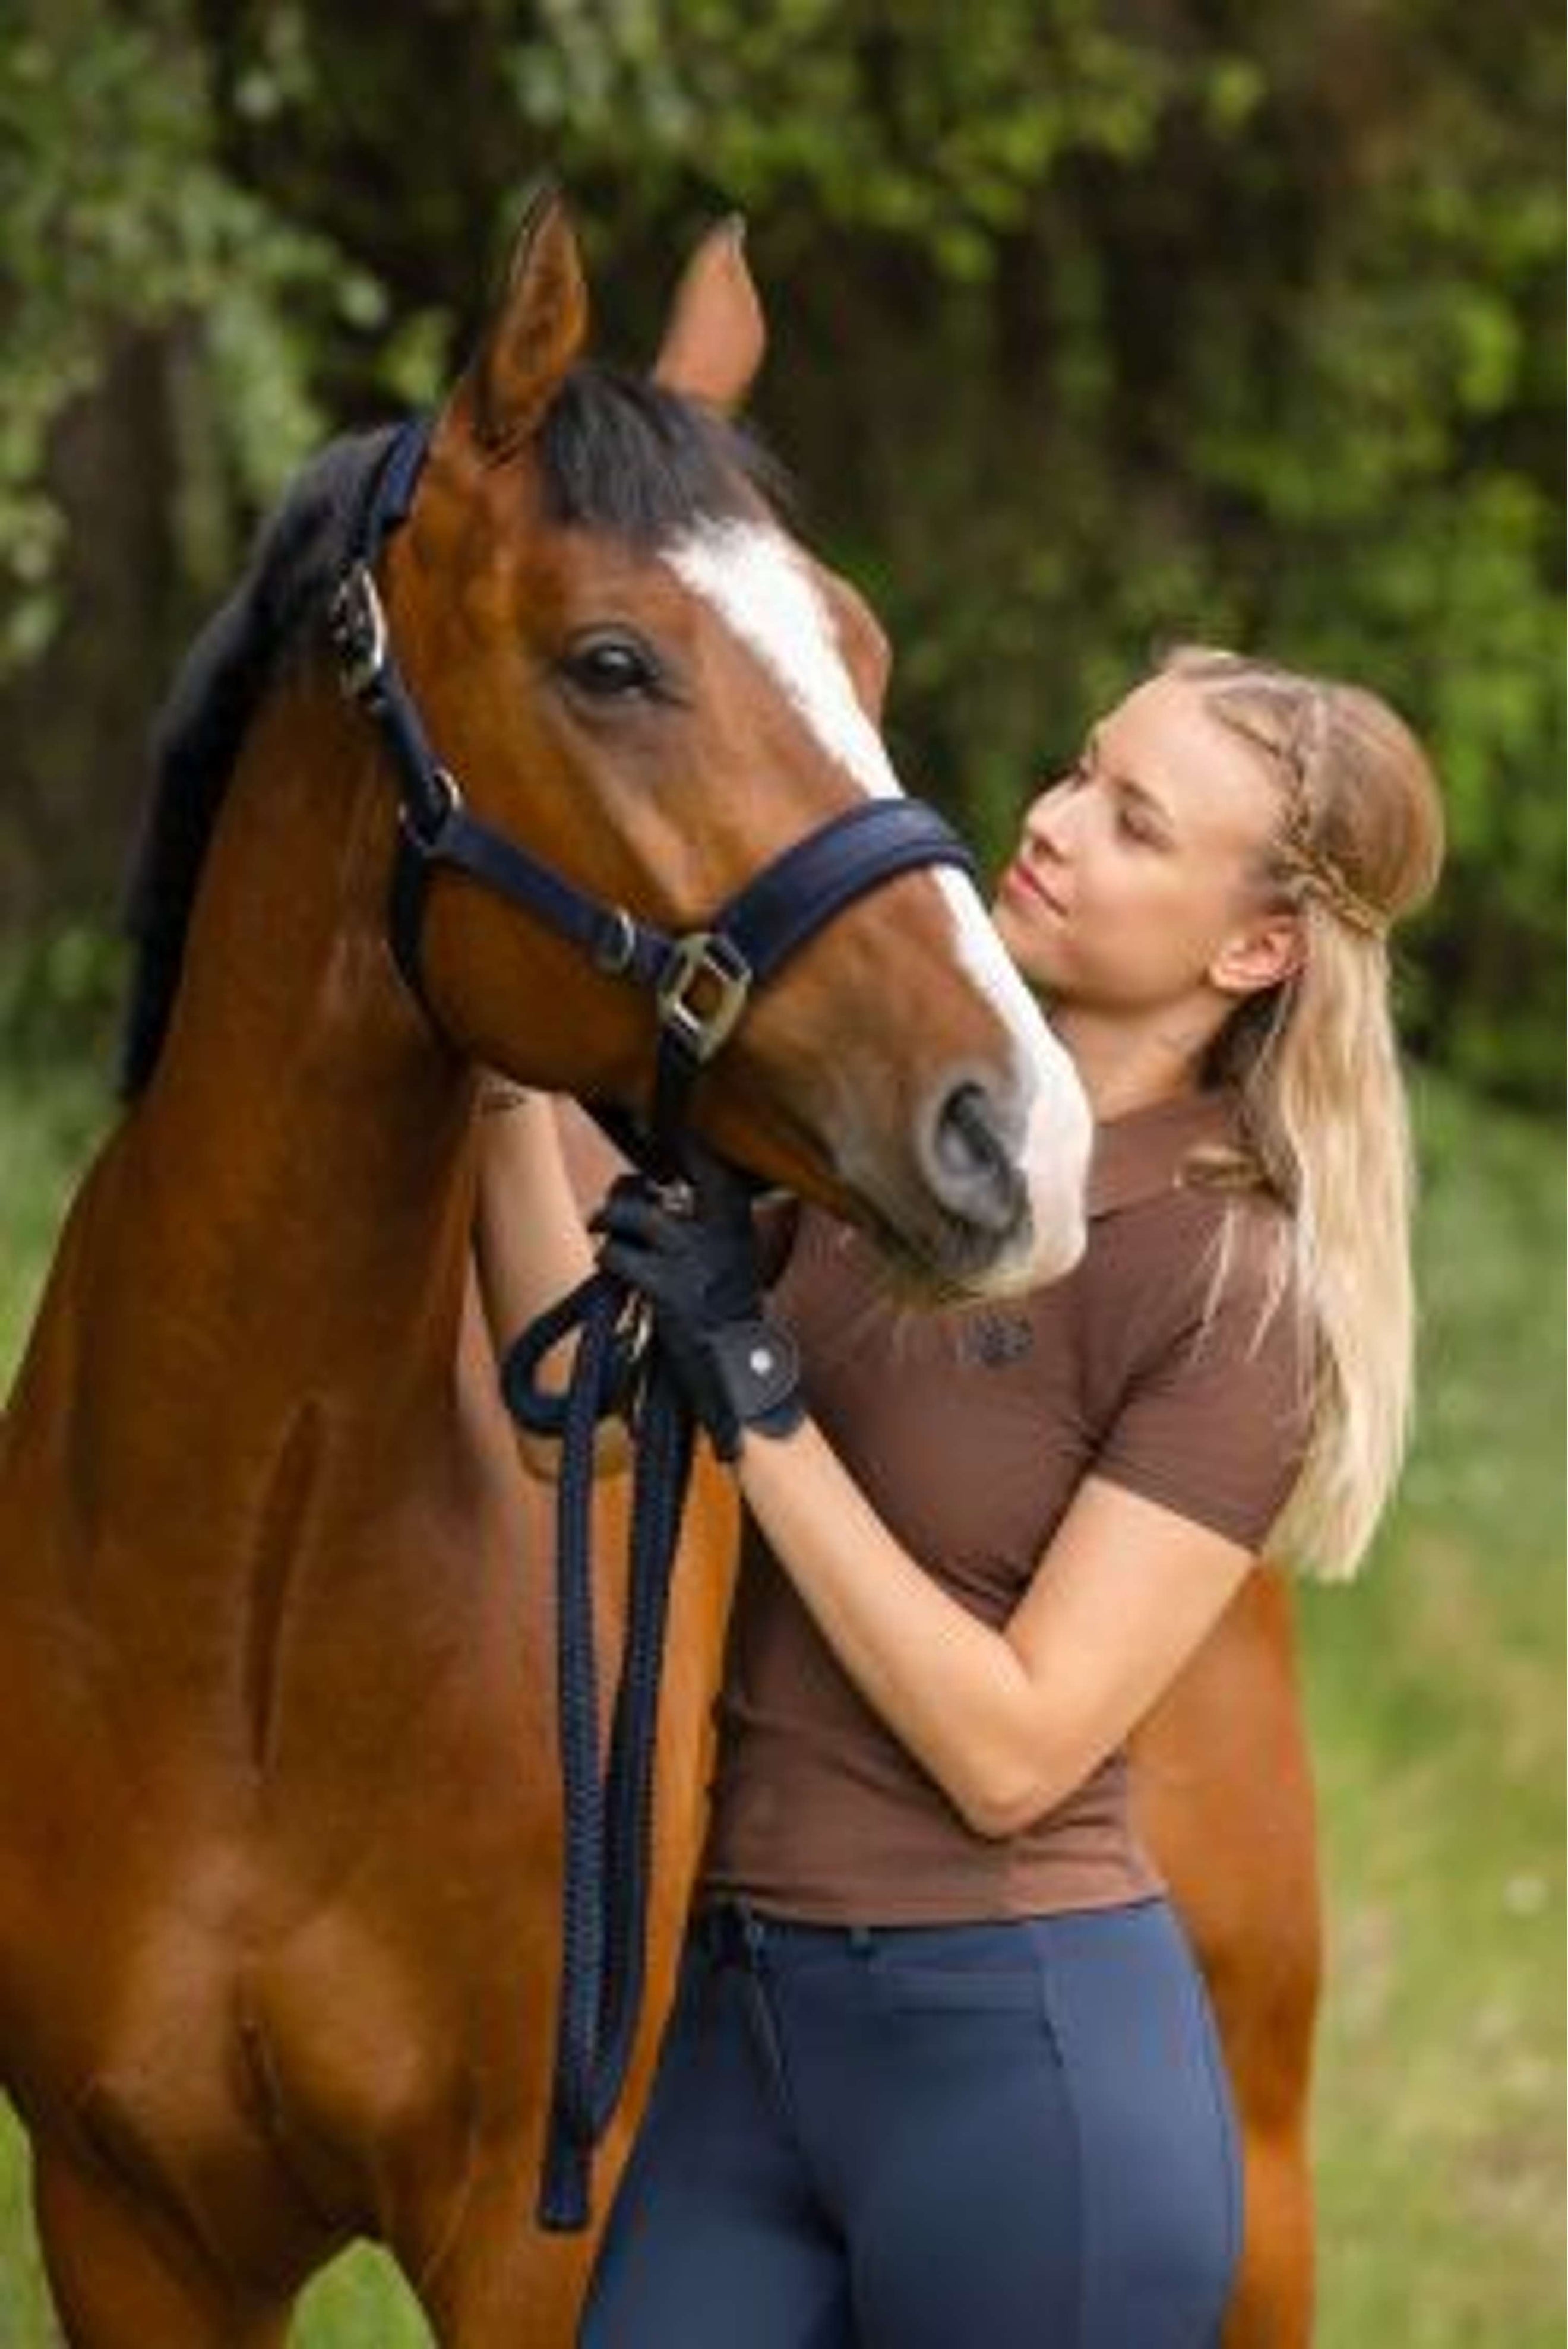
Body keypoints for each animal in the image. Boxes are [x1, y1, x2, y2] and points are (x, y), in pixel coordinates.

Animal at [0, 202, 1098, 2349]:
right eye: (611, 661)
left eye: (859, 650)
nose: (1019, 1133)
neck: (245, 1579)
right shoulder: (127, 2219)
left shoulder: (540, 2230)